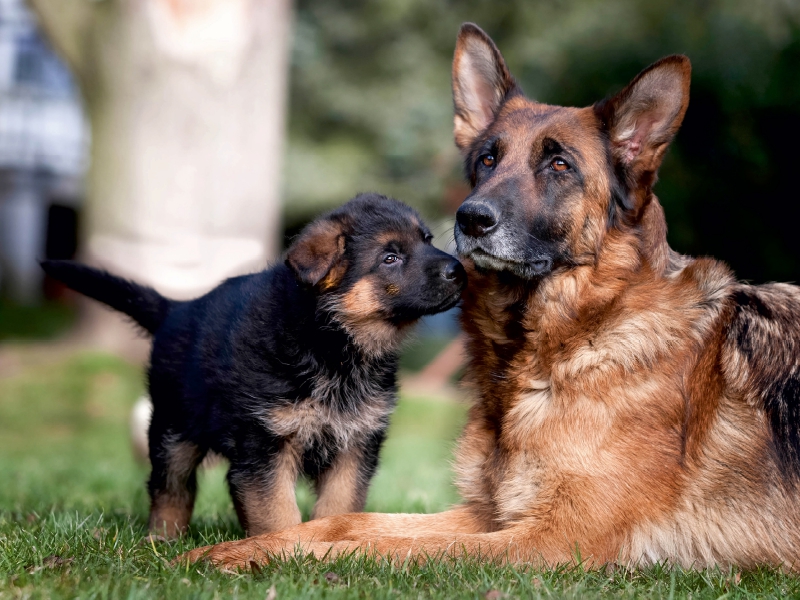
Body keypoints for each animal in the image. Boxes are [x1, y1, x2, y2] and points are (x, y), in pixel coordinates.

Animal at [43, 195, 466, 536]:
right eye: (390, 258)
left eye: (427, 240)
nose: (459, 271)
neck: (329, 343)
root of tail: (177, 309)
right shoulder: (263, 447)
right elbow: (275, 512)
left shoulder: (355, 446)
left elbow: (338, 506)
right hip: (174, 428)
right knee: (171, 489)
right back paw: (161, 540)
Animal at [181, 22, 800, 568]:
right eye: (487, 159)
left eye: (559, 164)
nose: (471, 220)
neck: (571, 340)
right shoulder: (490, 513)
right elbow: (348, 522)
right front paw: (245, 547)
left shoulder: (556, 538)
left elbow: (383, 547)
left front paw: (262, 556)